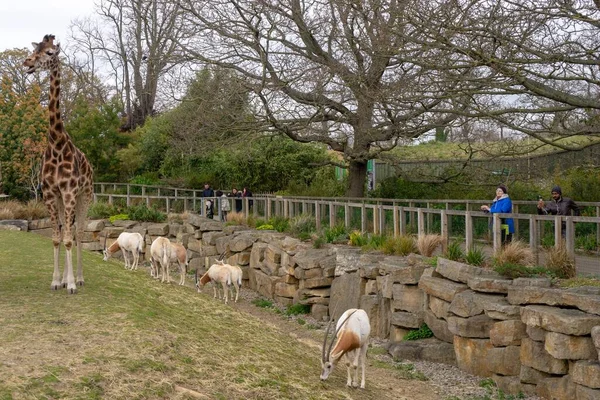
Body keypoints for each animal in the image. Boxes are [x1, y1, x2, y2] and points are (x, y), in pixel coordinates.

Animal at [22, 34, 93, 294]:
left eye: (50, 53)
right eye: (36, 49)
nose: (27, 62)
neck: (56, 141)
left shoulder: (70, 192)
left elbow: (70, 238)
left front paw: (71, 284)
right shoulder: (51, 194)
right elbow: (56, 237)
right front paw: (56, 281)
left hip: (86, 195)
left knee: (79, 232)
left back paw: (80, 278)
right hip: (64, 200)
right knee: (66, 230)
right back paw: (64, 279)